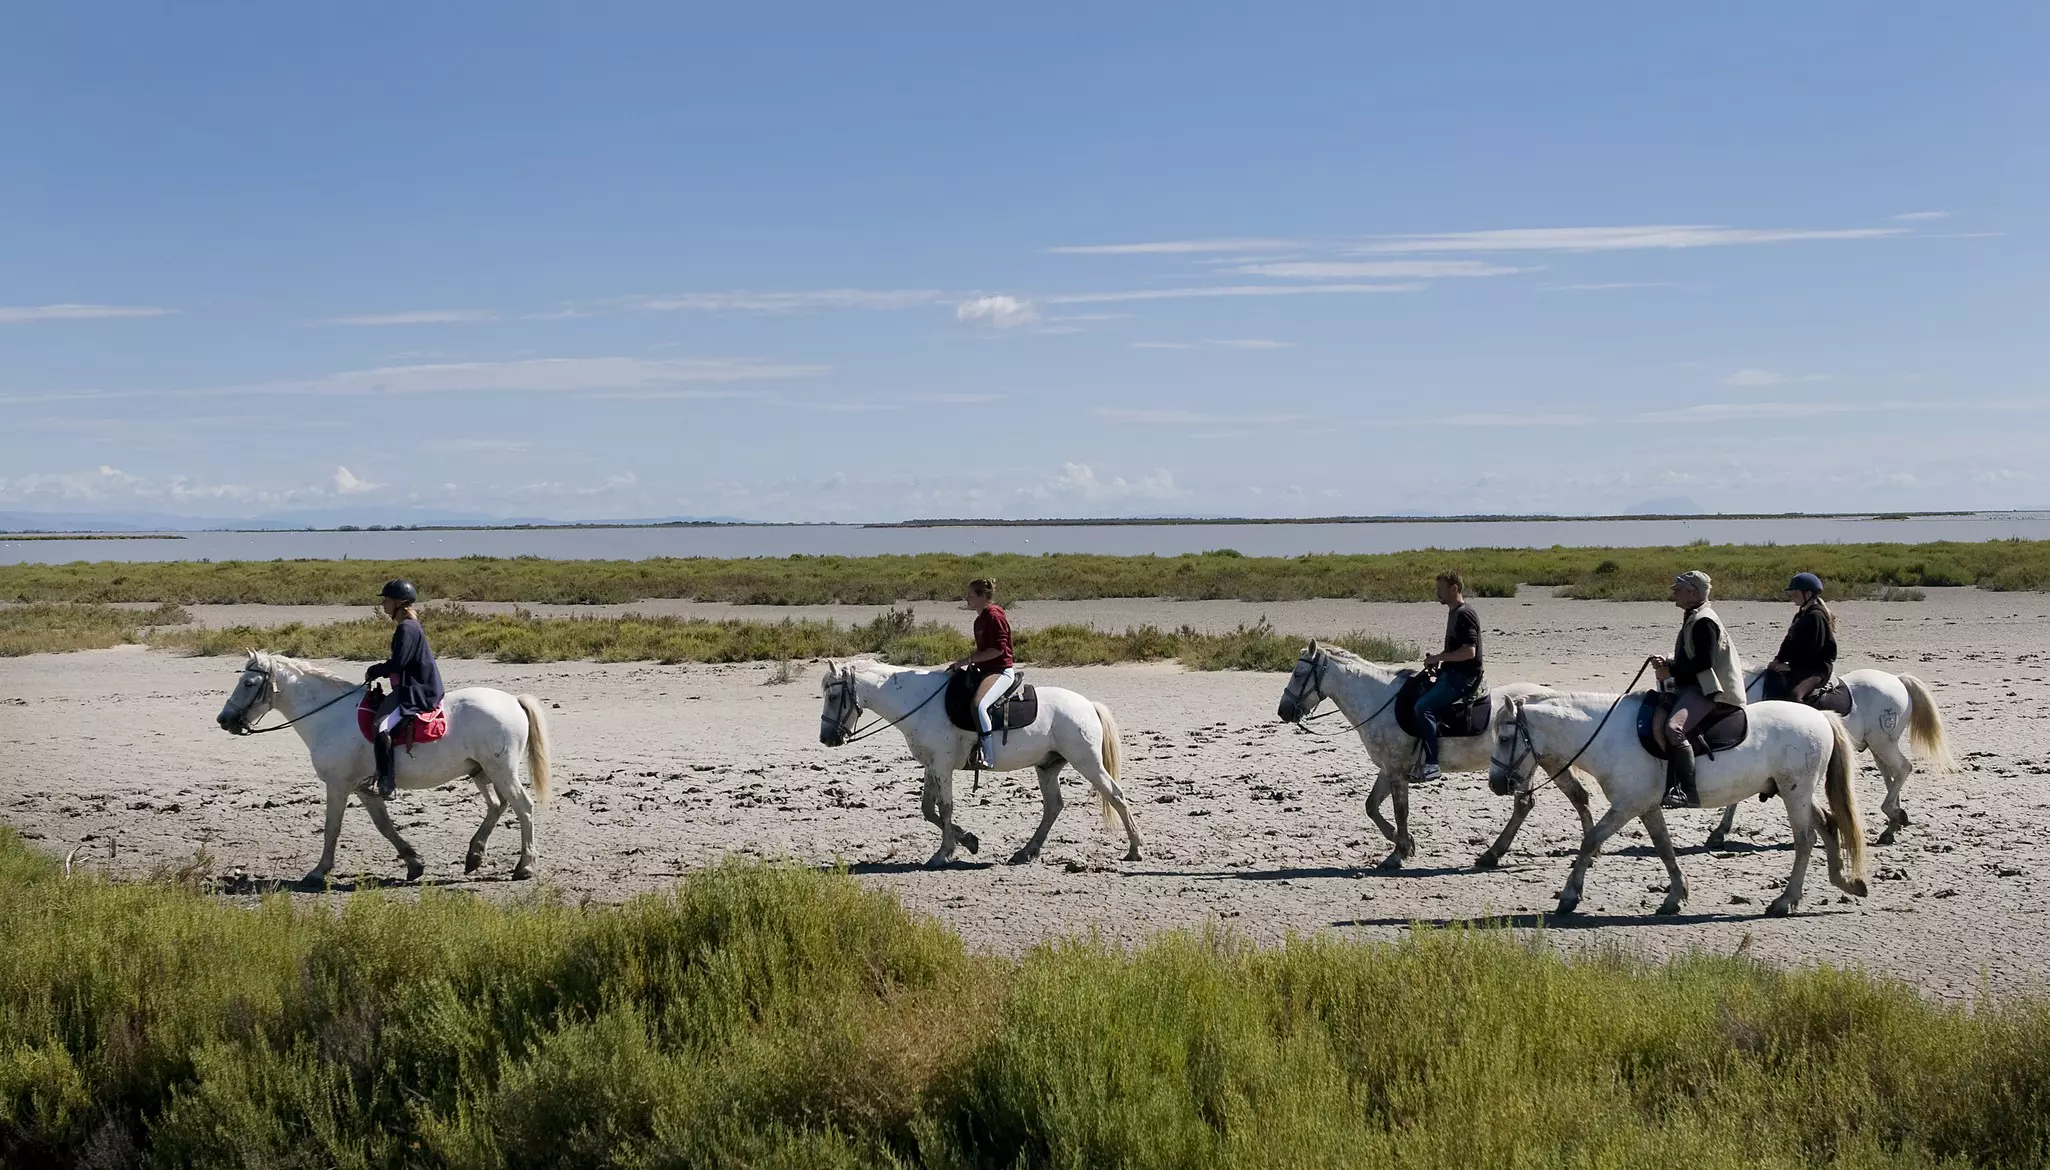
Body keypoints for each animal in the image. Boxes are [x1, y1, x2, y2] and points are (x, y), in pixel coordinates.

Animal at [215, 651, 552, 884]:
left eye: (248, 683)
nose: (223, 719)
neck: (330, 716)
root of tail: (513, 700)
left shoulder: (338, 785)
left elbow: (332, 828)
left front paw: (318, 871)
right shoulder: (365, 790)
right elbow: (385, 827)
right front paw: (414, 863)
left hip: (501, 771)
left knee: (522, 807)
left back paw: (524, 866)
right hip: (483, 771)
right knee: (498, 805)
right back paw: (475, 855)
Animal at [818, 660, 1142, 868]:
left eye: (833, 696)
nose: (826, 738)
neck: (920, 703)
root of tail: (1088, 705)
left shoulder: (942, 766)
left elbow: (945, 807)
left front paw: (943, 853)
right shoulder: (931, 766)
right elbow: (929, 810)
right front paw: (969, 841)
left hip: (1087, 762)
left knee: (1116, 795)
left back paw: (1135, 848)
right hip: (1048, 767)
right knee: (1053, 806)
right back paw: (1026, 851)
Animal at [1274, 641, 1580, 870]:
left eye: (1298, 674)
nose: (1283, 711)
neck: (1378, 701)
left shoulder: (1396, 771)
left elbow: (1400, 810)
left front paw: (1398, 853)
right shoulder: (1388, 769)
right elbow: (1371, 806)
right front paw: (1405, 843)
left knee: (1541, 801)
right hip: (1530, 765)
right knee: (1530, 804)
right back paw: (1493, 854)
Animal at [1489, 691, 1867, 918]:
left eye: (1505, 738)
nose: (1495, 784)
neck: (1607, 735)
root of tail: (1819, 716)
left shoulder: (1627, 805)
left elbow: (1591, 839)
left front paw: (1569, 895)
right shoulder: (1647, 806)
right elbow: (1664, 846)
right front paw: (1675, 895)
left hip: (1795, 793)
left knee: (1805, 840)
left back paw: (1785, 900)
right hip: (1799, 793)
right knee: (1828, 825)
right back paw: (1845, 882)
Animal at [1701, 667, 1958, 847]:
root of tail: (1897, 679)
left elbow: (1735, 797)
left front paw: (1719, 832)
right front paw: (1720, 831)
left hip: (1883, 743)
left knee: (1903, 769)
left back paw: (1891, 815)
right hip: (1879, 747)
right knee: (1892, 777)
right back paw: (1892, 825)